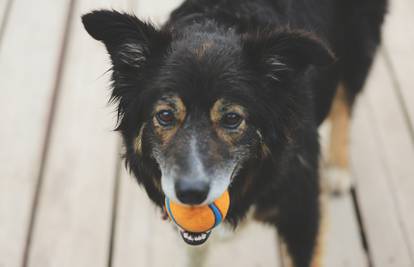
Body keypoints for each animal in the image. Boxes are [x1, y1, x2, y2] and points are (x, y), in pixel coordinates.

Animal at [81, 1, 388, 266]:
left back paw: (338, 169)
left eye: (231, 119)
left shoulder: (302, 216)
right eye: (165, 116)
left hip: (358, 43)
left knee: (345, 100)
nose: (190, 194)